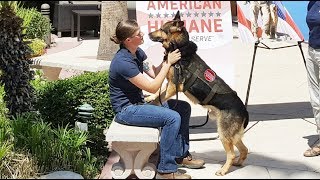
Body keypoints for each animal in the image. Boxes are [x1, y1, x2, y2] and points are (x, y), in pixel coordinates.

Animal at [147, 11, 250, 176]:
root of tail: (244, 110)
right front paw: (150, 97)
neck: (179, 47)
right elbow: (158, 92)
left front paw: (153, 103)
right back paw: (238, 163)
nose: (148, 34)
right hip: (231, 135)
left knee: (232, 153)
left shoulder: (174, 86)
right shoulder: (169, 83)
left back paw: (223, 170)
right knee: (244, 149)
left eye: (162, 29)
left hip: (224, 134)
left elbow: (161, 96)